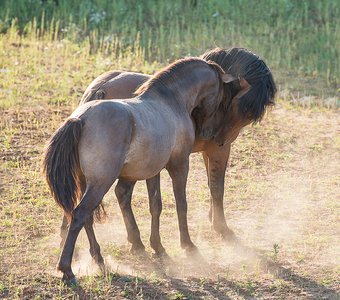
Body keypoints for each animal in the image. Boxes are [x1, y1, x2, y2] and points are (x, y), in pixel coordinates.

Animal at [43, 56, 238, 284]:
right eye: (222, 98)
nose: (210, 133)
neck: (170, 102)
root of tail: (81, 119)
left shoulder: (153, 171)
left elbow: (156, 206)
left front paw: (158, 248)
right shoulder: (179, 164)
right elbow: (181, 204)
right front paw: (188, 246)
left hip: (85, 183)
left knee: (86, 218)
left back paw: (98, 258)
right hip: (100, 184)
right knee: (79, 215)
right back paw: (67, 269)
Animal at [58, 47, 276, 258]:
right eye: (240, 107)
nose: (213, 135)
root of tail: (100, 88)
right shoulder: (210, 154)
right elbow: (212, 189)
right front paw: (217, 229)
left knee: (96, 198)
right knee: (101, 201)